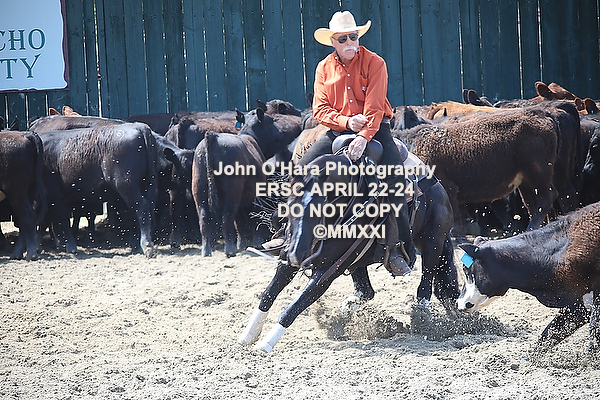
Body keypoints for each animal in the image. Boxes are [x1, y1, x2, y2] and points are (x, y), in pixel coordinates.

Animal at [0, 131, 46, 260]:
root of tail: (25, 134)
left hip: (16, 192)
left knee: (27, 216)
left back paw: (31, 254)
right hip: (27, 192)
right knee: (23, 221)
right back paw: (17, 253)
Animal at [39, 123, 158, 257]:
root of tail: (139, 126)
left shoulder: (56, 196)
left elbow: (63, 220)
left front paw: (70, 246)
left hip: (127, 186)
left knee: (141, 207)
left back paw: (147, 246)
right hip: (144, 185)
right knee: (141, 209)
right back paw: (136, 245)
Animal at [191, 107, 302, 257]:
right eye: (271, 120)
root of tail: (212, 136)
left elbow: (240, 221)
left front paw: (242, 243)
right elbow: (255, 217)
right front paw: (256, 241)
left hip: (199, 189)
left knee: (204, 218)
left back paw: (206, 250)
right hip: (232, 191)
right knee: (227, 217)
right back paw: (229, 250)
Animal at [239, 146, 458, 353]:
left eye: (319, 206)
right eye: (290, 204)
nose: (297, 254)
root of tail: (439, 188)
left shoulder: (329, 271)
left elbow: (297, 304)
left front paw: (267, 343)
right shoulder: (288, 258)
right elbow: (268, 294)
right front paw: (249, 335)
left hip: (432, 244)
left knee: (424, 287)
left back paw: (423, 321)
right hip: (357, 261)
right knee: (366, 291)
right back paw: (343, 312)